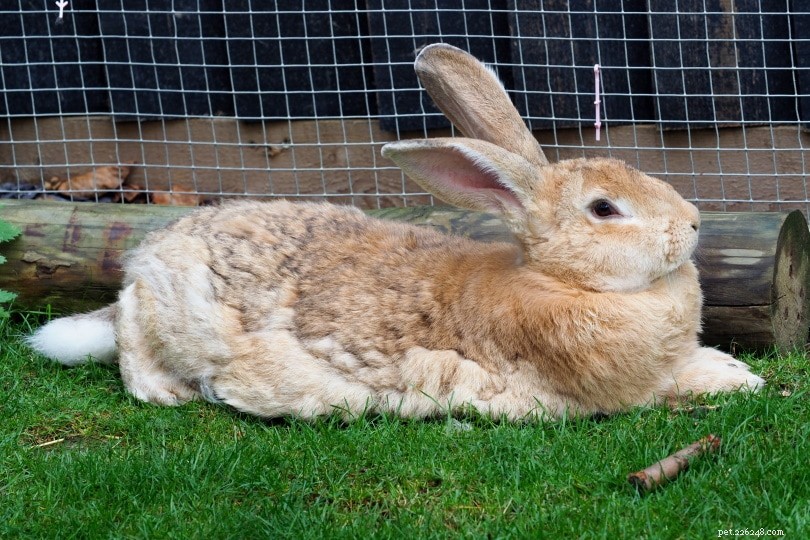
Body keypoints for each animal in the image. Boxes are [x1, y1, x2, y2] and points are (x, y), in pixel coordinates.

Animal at [27, 43, 764, 421]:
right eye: (605, 209)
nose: (693, 224)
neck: (558, 281)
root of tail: (156, 249)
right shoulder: (601, 391)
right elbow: (669, 387)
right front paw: (739, 382)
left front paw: (735, 368)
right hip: (165, 307)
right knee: (131, 337)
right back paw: (165, 389)